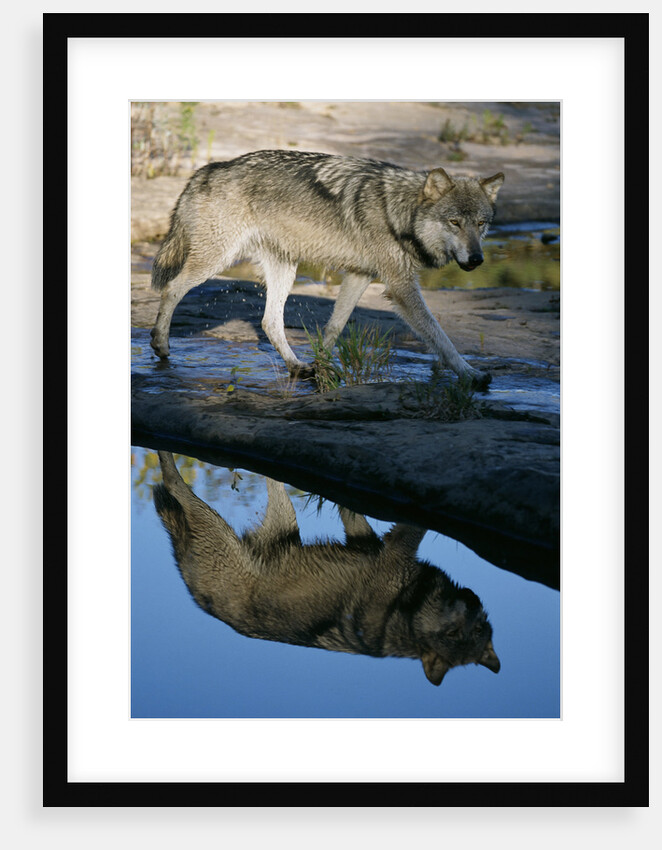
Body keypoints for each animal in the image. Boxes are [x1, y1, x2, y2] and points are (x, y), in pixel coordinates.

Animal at [150, 150, 504, 389]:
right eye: (455, 222)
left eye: (481, 224)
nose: (476, 259)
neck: (395, 211)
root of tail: (206, 170)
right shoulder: (400, 286)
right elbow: (440, 336)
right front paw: (470, 373)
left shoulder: (360, 276)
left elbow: (334, 327)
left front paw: (320, 366)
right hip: (216, 260)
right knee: (171, 289)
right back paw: (161, 346)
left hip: (285, 268)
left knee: (269, 322)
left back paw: (297, 367)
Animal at [153, 451, 500, 686]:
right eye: (454, 632)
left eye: (477, 630)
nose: (473, 603)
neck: (406, 616)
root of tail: (195, 594)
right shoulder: (391, 553)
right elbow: (414, 527)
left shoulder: (371, 544)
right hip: (219, 522)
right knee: (171, 482)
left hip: (283, 521)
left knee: (268, 481)